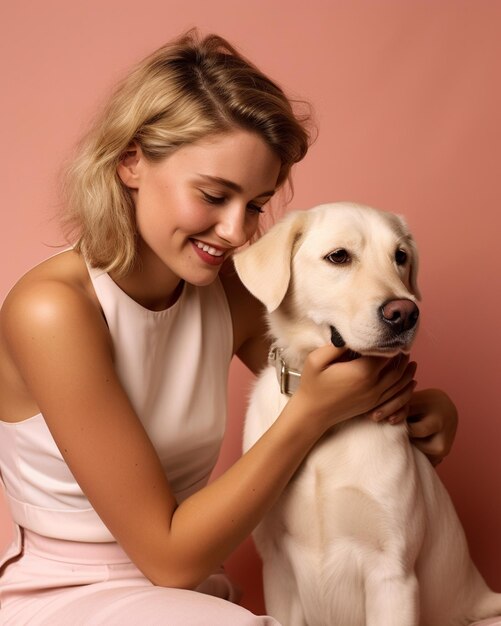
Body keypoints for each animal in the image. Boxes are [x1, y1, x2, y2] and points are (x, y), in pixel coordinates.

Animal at [234, 202, 500, 620]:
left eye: (400, 257)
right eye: (339, 257)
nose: (405, 313)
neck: (325, 424)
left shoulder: (392, 573)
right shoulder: (276, 567)